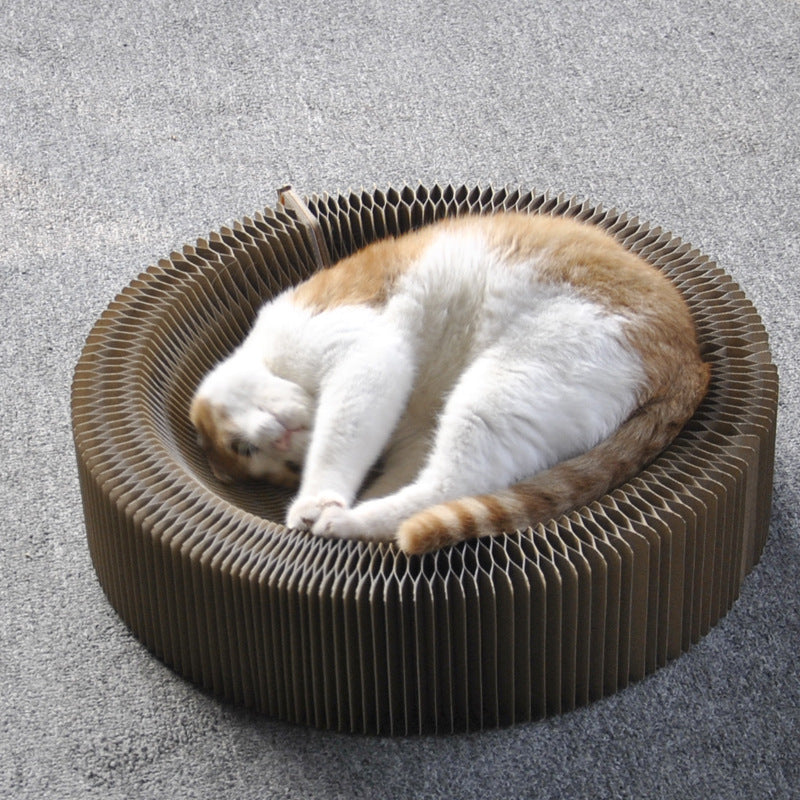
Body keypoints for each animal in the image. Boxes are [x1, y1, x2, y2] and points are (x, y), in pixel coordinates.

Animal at [191, 211, 708, 556]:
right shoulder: (414, 434)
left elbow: (338, 441)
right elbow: (393, 469)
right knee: (447, 491)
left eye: (241, 447)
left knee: (450, 485)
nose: (279, 442)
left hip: (502, 386)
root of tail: (692, 359)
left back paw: (341, 520)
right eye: (270, 462)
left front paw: (314, 499)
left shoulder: (366, 357)